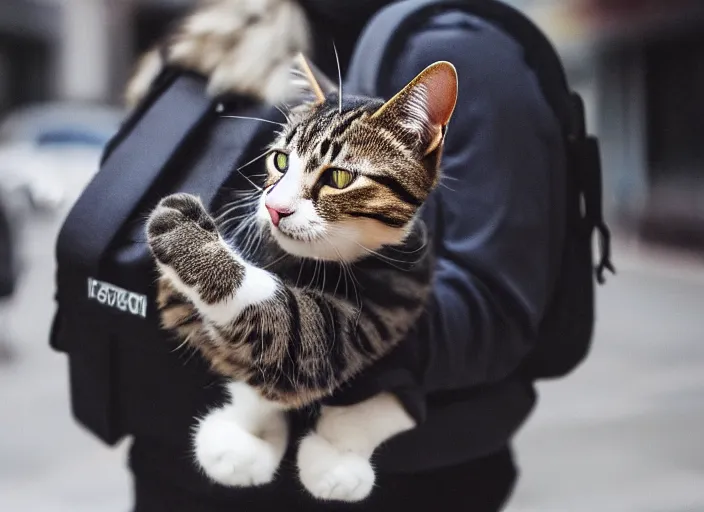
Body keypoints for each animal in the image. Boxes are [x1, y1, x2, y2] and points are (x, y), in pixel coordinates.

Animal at [146, 55, 460, 500]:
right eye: (280, 160)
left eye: (340, 178)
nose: (274, 208)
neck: (315, 263)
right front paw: (247, 437)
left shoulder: (394, 303)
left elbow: (293, 333)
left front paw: (336, 457)